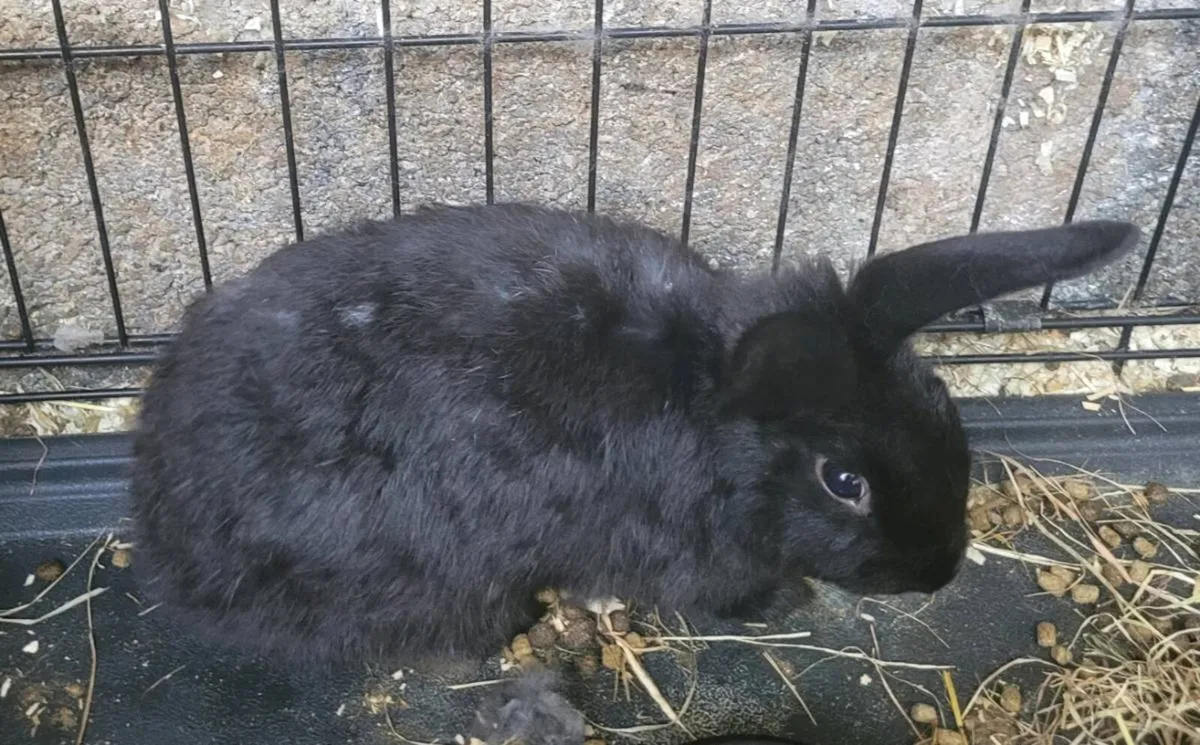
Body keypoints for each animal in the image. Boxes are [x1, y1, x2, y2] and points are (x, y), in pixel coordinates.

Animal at [128, 202, 1139, 666]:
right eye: (842, 481)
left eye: (941, 407)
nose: (937, 570)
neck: (710, 413)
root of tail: (163, 536)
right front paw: (786, 601)